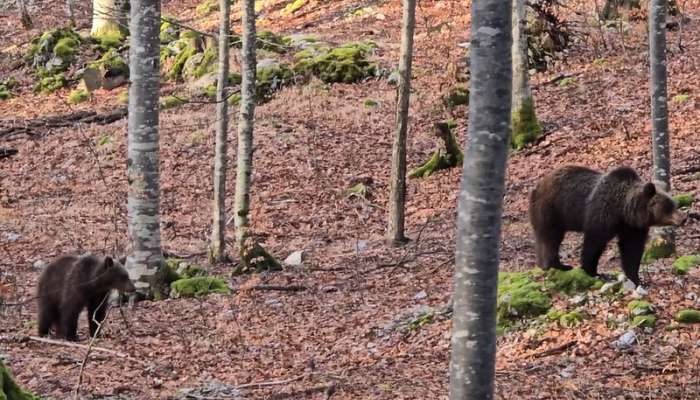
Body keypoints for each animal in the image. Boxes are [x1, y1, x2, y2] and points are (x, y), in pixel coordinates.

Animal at [532, 165, 684, 284]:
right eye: (668, 207)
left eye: (673, 204)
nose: (683, 218)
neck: (623, 210)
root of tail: (538, 184)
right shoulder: (602, 215)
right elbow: (594, 243)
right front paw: (590, 270)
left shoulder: (632, 227)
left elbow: (631, 248)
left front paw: (635, 278)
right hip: (551, 209)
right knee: (550, 238)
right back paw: (557, 265)